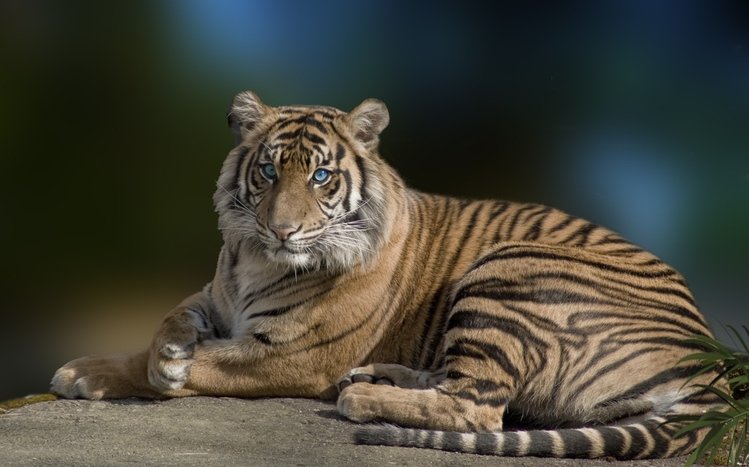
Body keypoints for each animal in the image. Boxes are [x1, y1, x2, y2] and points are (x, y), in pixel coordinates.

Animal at [51, 91, 722, 460]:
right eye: (267, 171)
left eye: (321, 177)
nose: (282, 230)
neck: (254, 259)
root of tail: (711, 362)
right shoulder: (214, 298)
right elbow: (170, 318)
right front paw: (161, 351)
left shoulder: (288, 355)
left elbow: (186, 365)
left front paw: (92, 372)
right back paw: (379, 376)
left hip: (508, 267)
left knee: (479, 407)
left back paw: (363, 397)